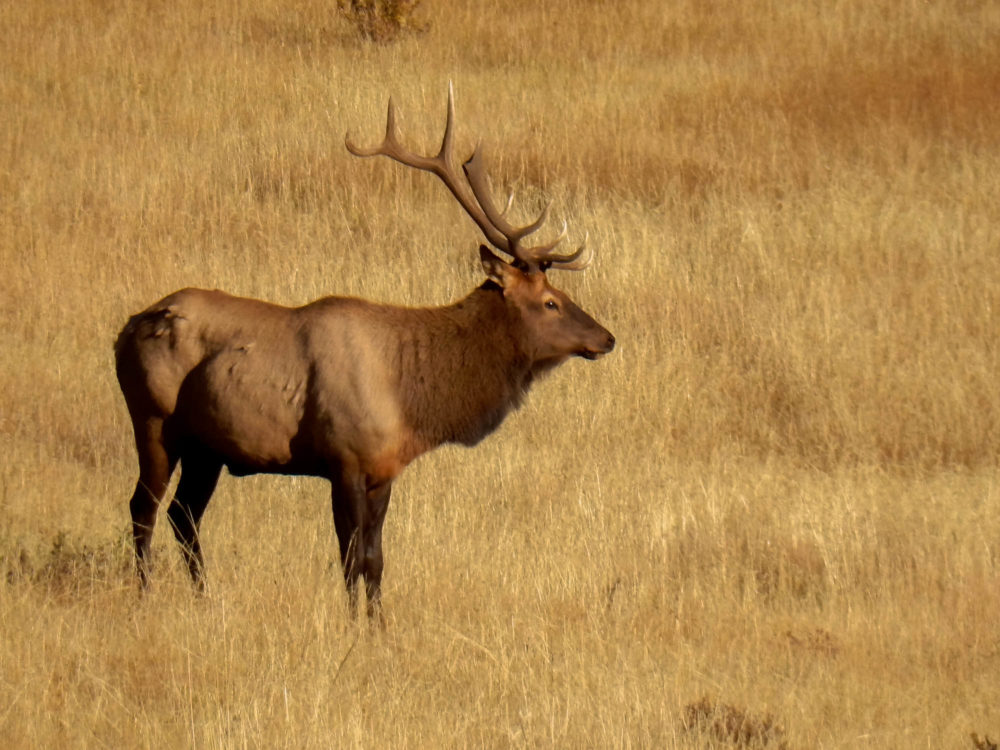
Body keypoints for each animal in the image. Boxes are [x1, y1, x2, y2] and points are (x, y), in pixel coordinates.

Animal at [117, 85, 616, 620]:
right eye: (550, 302)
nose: (607, 338)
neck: (411, 398)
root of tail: (126, 329)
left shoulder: (383, 469)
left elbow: (375, 557)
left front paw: (377, 625)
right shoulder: (345, 459)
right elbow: (351, 556)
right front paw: (355, 623)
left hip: (206, 447)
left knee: (184, 514)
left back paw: (205, 596)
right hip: (153, 420)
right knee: (144, 508)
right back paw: (146, 594)